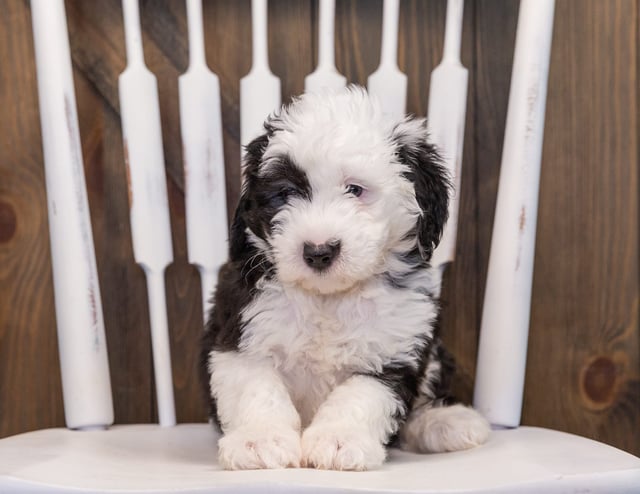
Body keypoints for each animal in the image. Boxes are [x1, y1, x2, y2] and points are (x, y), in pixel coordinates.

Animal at [201, 86, 490, 470]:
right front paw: (259, 440)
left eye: (355, 189)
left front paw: (340, 440)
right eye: (285, 193)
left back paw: (446, 422)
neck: (328, 298)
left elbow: (361, 394)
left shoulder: (395, 347)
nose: (319, 251)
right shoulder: (242, 332)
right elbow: (257, 388)